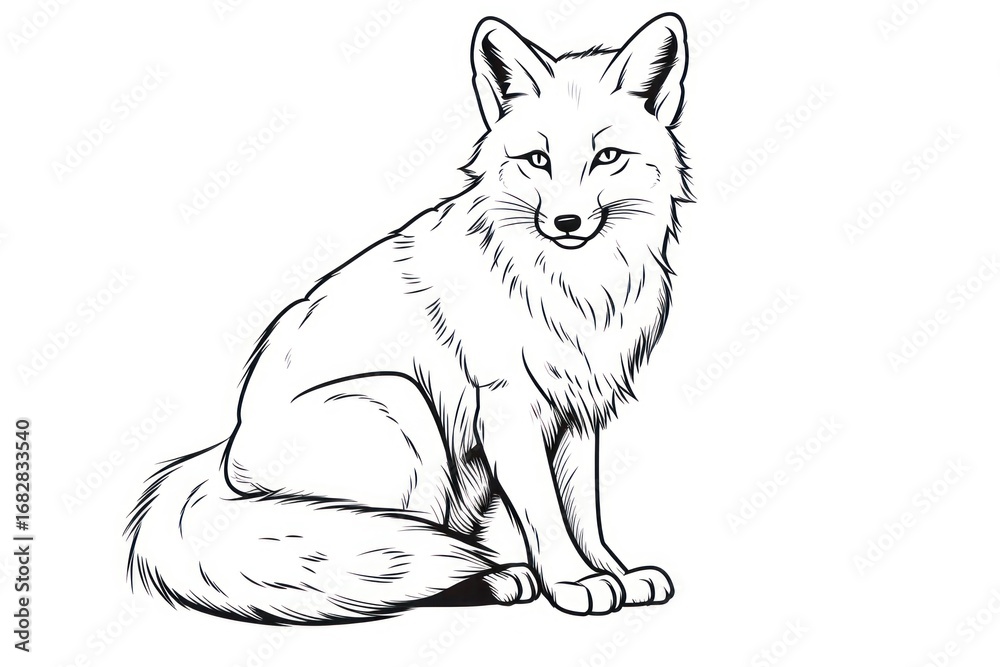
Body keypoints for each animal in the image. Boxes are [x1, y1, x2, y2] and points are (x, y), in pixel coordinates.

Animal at [126, 13, 693, 623]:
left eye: (607, 156)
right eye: (536, 161)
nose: (567, 223)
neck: (574, 290)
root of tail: (224, 459)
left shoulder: (577, 411)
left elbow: (584, 515)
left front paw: (615, 574)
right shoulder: (508, 408)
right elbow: (546, 517)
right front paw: (573, 583)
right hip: (400, 406)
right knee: (396, 560)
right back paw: (491, 577)